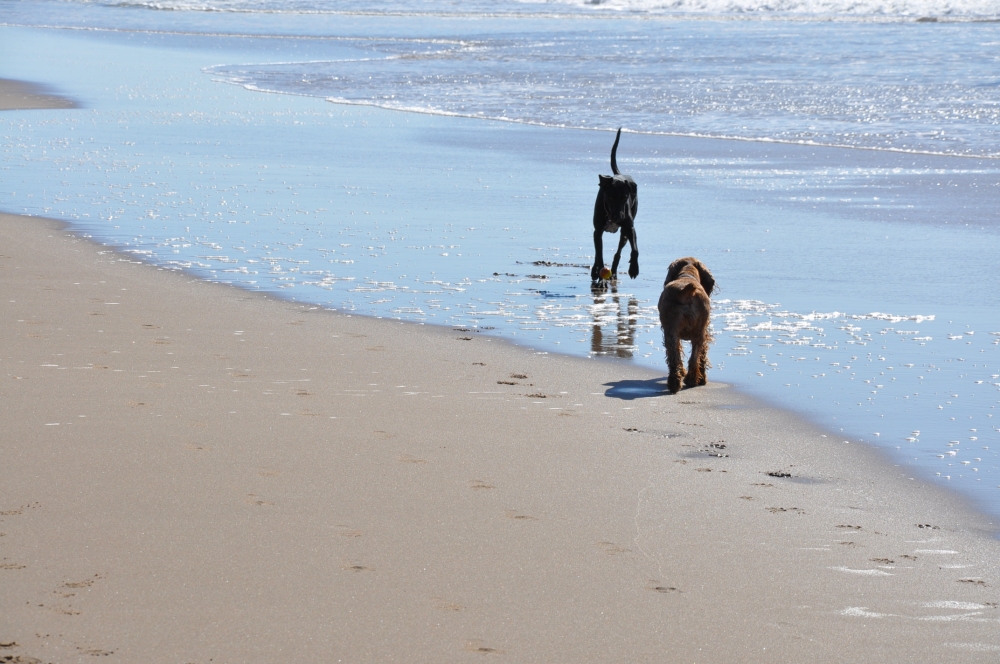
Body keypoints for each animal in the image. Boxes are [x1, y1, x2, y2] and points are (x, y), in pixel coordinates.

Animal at [588, 128, 636, 282]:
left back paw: (613, 271)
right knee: (598, 253)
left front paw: (634, 268)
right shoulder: (597, 231)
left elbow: (635, 249)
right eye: (610, 197)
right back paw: (596, 271)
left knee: (619, 250)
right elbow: (599, 254)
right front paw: (600, 276)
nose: (618, 217)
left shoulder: (629, 227)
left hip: (624, 233)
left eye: (625, 197)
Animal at [660, 256, 716, 394]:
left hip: (673, 333)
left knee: (676, 358)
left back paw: (678, 382)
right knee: (691, 358)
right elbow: (703, 356)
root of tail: (687, 291)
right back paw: (690, 380)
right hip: (695, 333)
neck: (688, 274)